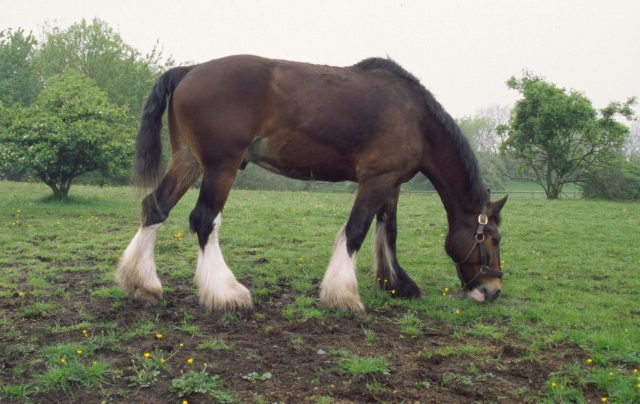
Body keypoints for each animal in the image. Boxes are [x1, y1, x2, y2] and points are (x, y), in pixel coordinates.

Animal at [116, 53, 504, 314]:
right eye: (492, 238)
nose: (494, 288)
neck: (415, 117)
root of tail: (188, 71)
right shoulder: (375, 180)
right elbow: (356, 231)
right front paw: (343, 295)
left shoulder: (391, 184)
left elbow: (388, 232)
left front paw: (396, 284)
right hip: (219, 168)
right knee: (203, 220)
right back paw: (226, 293)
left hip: (188, 162)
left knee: (155, 207)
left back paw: (143, 284)